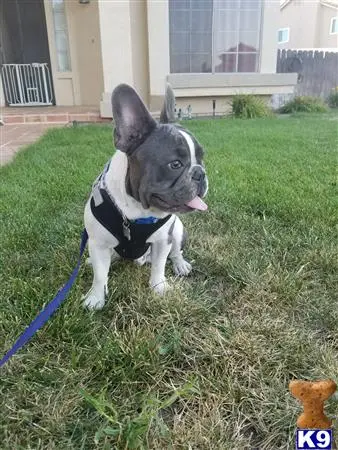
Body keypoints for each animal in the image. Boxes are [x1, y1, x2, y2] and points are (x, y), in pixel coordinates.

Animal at [83, 83, 207, 310]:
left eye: (202, 159)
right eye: (175, 164)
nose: (200, 173)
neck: (136, 211)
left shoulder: (163, 240)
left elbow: (159, 266)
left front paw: (158, 288)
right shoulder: (97, 243)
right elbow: (99, 275)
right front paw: (95, 297)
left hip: (177, 231)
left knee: (176, 252)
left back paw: (181, 264)